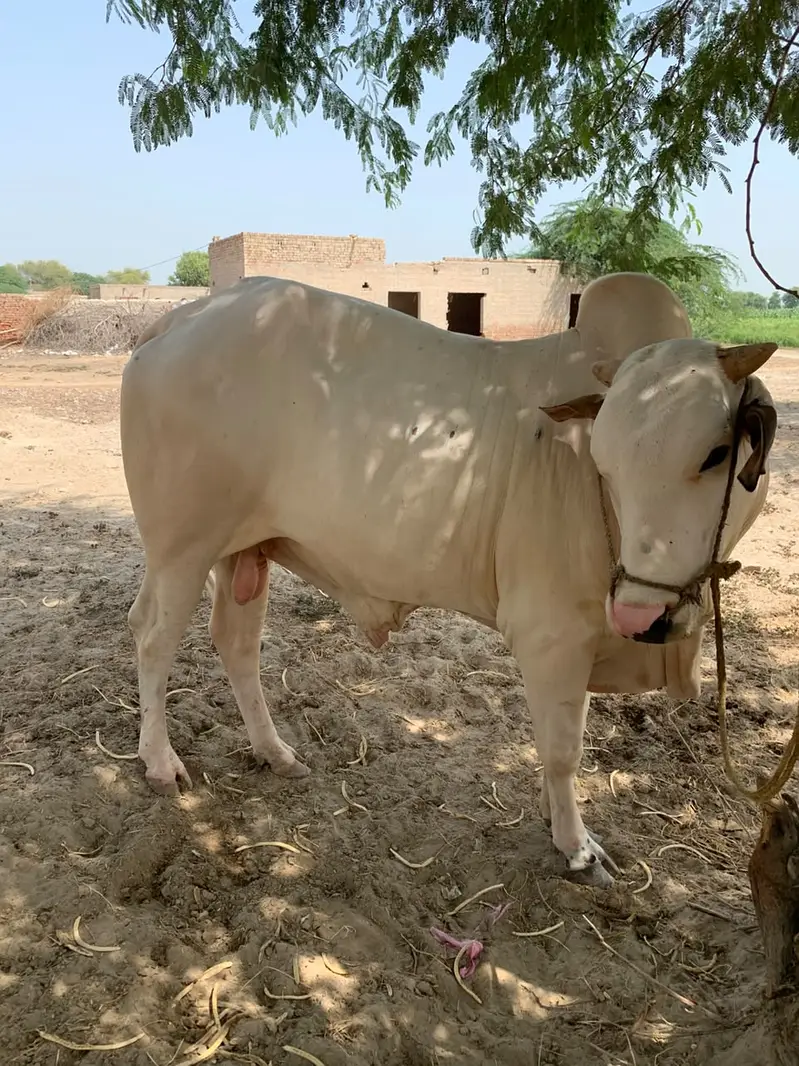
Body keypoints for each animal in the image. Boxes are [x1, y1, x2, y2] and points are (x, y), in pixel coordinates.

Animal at [119, 271, 778, 886]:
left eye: (715, 454)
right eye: (605, 464)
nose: (641, 615)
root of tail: (178, 320)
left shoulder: (586, 633)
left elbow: (560, 730)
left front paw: (554, 817)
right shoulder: (551, 632)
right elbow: (563, 749)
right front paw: (576, 846)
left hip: (241, 550)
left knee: (236, 643)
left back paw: (274, 752)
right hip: (182, 547)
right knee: (152, 637)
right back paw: (159, 762)